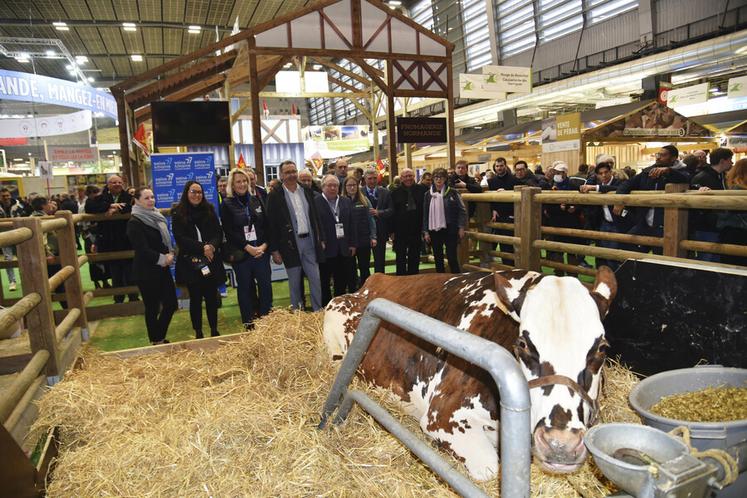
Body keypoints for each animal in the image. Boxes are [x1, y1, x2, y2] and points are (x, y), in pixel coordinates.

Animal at [324, 268, 616, 482]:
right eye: (523, 344)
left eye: (602, 348)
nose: (560, 444)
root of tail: (376, 278)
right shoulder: (443, 416)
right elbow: (489, 469)